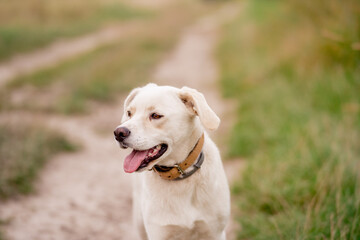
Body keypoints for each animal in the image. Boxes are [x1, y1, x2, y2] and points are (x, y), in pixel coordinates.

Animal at [114, 84, 229, 240]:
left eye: (156, 116)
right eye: (129, 113)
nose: (118, 133)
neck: (181, 176)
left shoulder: (214, 232)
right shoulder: (160, 233)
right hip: (139, 221)